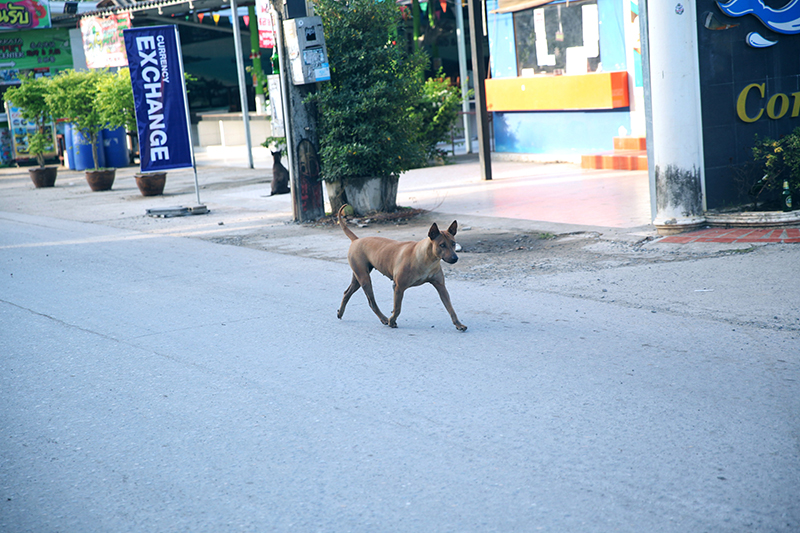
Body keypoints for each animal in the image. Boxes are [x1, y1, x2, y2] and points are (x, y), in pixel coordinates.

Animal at [338, 205, 468, 332]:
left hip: (358, 277)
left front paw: (458, 324)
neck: (426, 258)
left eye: (453, 243)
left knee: (347, 293)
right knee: (371, 301)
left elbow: (450, 308)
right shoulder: (398, 287)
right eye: (442, 245)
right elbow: (397, 308)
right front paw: (391, 321)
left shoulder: (441, 287)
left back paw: (340, 313)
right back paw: (384, 318)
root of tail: (356, 240)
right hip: (364, 278)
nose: (455, 258)